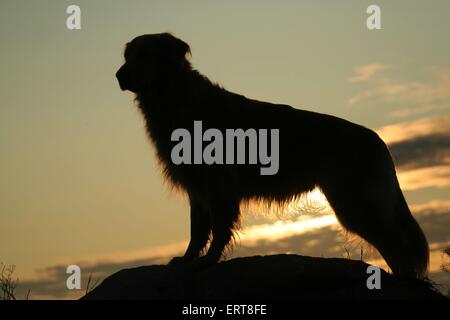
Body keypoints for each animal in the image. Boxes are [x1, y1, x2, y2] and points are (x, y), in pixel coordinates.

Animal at [116, 33, 428, 278]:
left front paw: (208, 261)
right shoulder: (198, 186)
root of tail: (378, 140)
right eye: (127, 55)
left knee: (397, 246)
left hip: (353, 204)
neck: (177, 99)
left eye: (144, 55)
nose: (118, 75)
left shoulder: (218, 186)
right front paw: (187, 259)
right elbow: (197, 230)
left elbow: (217, 229)